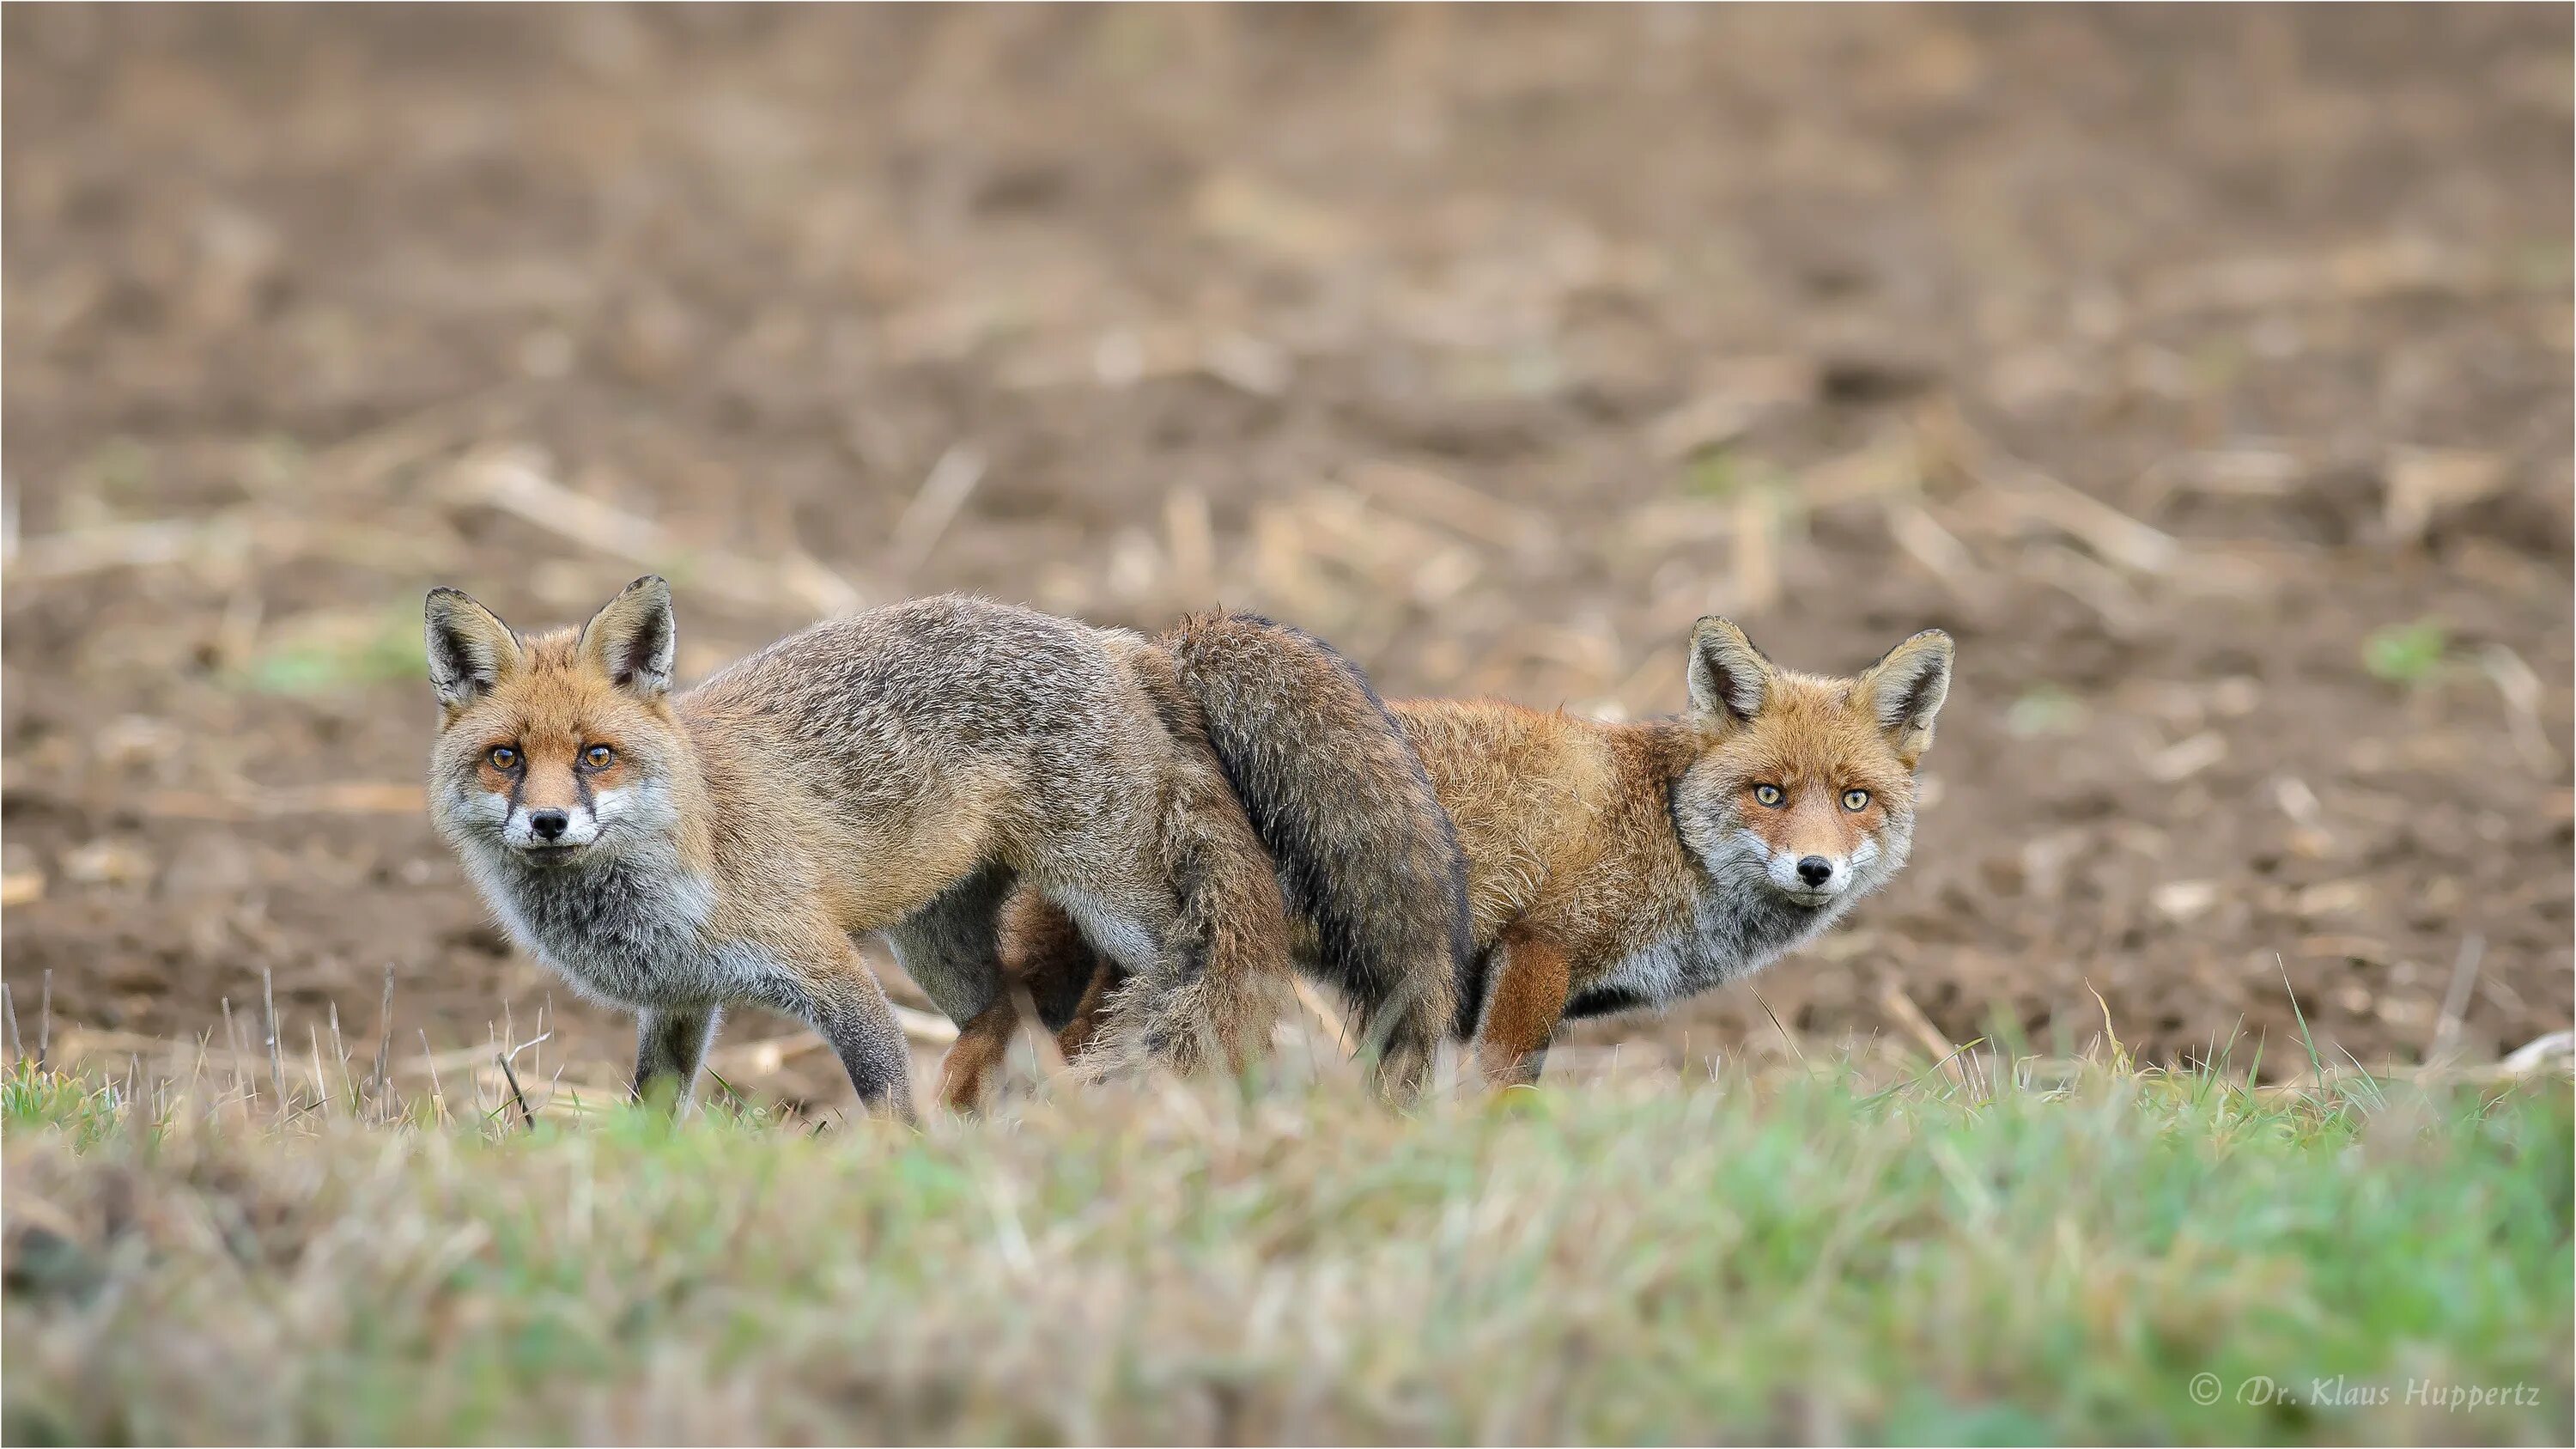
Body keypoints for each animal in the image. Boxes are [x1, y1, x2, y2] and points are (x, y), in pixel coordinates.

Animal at [433, 577, 1463, 1118]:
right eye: (506, 757)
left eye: (596, 755)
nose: (549, 823)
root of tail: (1122, 641)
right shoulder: (682, 1001)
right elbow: (653, 1109)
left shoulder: (825, 966)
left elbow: (885, 1092)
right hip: (936, 945)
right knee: (1015, 1007)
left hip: (1111, 894)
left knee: (1176, 966)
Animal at [984, 613, 1947, 1087]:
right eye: (1769, 794)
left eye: (1855, 799)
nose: (1815, 869)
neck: (1666, 828)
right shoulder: (1539, 950)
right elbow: (1498, 1093)